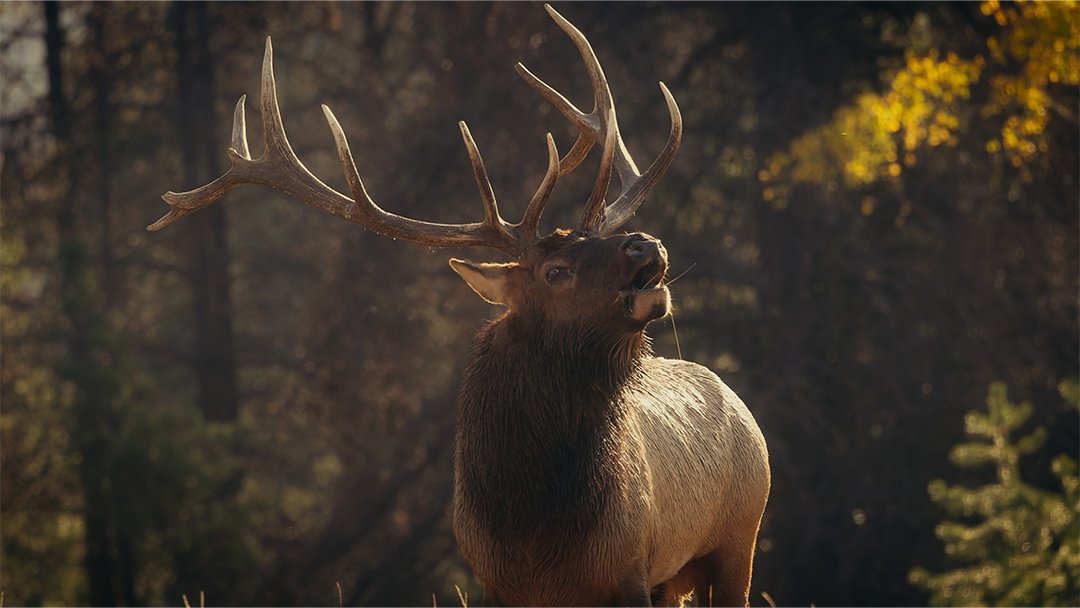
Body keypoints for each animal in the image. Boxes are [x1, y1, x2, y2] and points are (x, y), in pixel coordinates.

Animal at [154, 5, 777, 608]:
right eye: (555, 271)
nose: (646, 244)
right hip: (679, 575)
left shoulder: (629, 569)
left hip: (738, 539)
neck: (533, 524)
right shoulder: (496, 582)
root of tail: (735, 399)